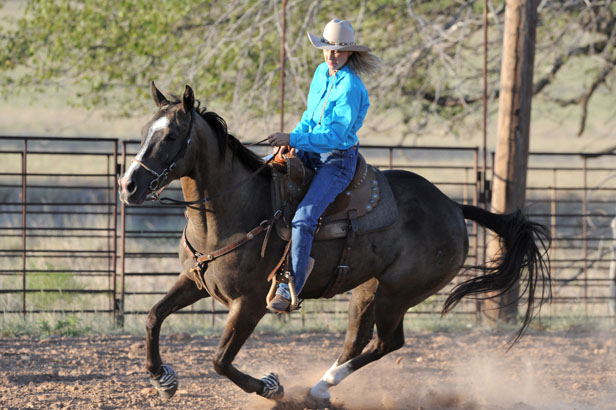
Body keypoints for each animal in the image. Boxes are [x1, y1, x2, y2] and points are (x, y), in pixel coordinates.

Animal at [118, 81, 552, 406]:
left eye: (172, 136)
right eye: (142, 133)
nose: (128, 186)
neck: (231, 211)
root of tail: (452, 205)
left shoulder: (251, 303)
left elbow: (220, 361)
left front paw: (272, 387)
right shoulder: (195, 281)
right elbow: (154, 315)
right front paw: (163, 379)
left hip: (398, 292)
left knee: (387, 341)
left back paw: (318, 386)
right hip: (367, 288)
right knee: (356, 340)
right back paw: (320, 389)